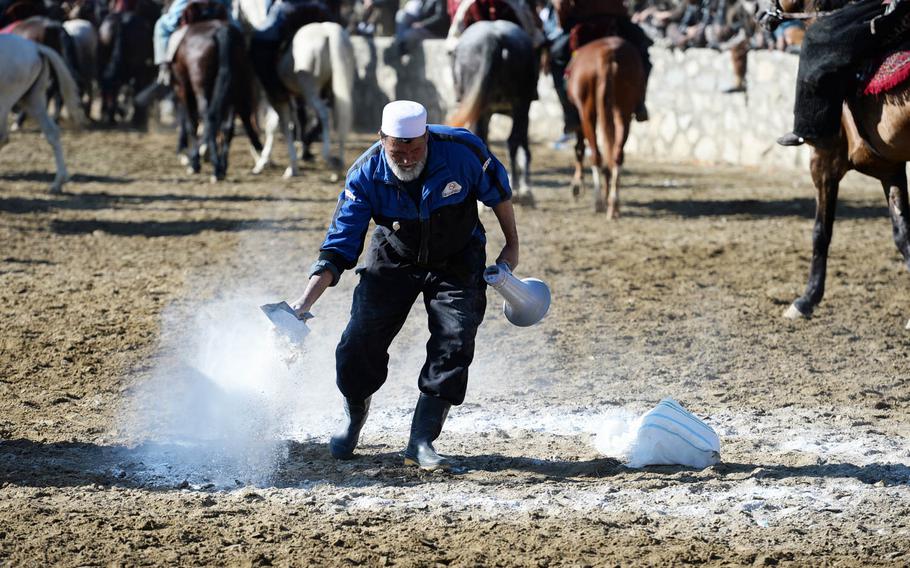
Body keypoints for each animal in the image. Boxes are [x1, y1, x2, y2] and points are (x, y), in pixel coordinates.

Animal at [0, 33, 87, 193]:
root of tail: (37, 48)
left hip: (5, 101)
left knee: (3, 137)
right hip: (34, 100)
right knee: (52, 132)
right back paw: (58, 182)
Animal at [172, 14, 264, 180]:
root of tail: (222, 32)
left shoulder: (183, 89)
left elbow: (191, 124)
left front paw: (194, 161)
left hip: (202, 88)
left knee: (209, 117)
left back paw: (213, 166)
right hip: (233, 89)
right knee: (227, 127)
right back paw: (223, 165)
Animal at [568, 35, 648, 217]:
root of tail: (607, 55)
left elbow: (580, 147)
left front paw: (577, 185)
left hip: (587, 112)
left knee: (596, 155)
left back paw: (598, 202)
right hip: (623, 112)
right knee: (617, 154)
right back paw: (613, 204)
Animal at [772, 0, 910, 328]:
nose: (765, 15)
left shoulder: (823, 161)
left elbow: (821, 232)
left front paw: (806, 300)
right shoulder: (891, 169)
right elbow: (902, 234)